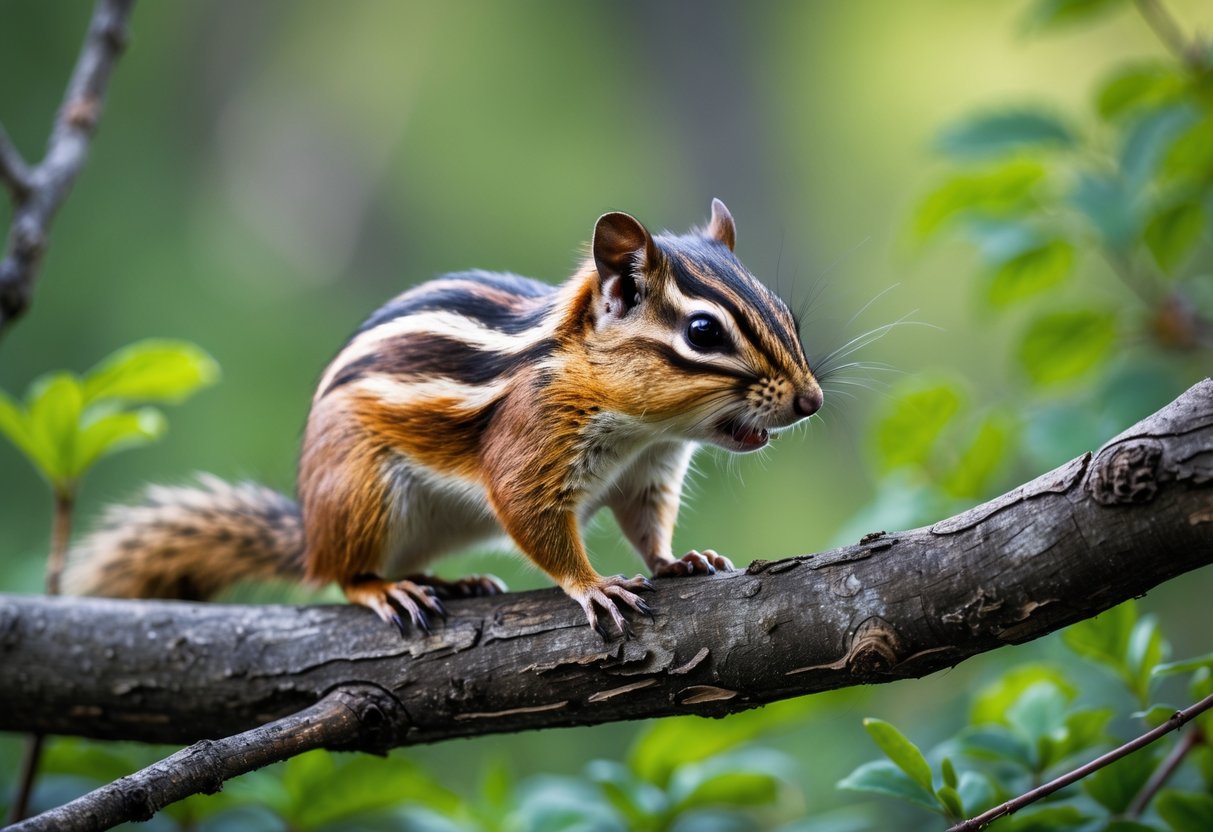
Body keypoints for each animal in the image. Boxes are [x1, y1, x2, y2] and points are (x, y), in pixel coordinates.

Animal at [65, 199, 823, 640]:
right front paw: (593, 586)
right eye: (703, 332)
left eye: (786, 313)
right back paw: (389, 588)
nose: (811, 400)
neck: (642, 431)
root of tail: (310, 531)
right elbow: (532, 519)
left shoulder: (648, 473)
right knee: (345, 573)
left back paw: (452, 582)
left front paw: (679, 560)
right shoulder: (531, 440)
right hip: (362, 493)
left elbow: (646, 525)